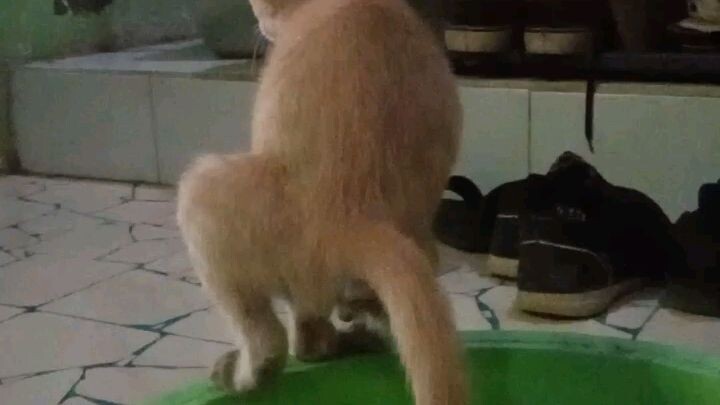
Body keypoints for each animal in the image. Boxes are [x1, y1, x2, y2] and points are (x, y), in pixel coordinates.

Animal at [176, 0, 468, 404]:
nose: (259, 21)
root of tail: (353, 224)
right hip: (418, 250)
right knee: (318, 334)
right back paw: (356, 339)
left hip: (202, 192)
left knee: (272, 340)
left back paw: (242, 372)